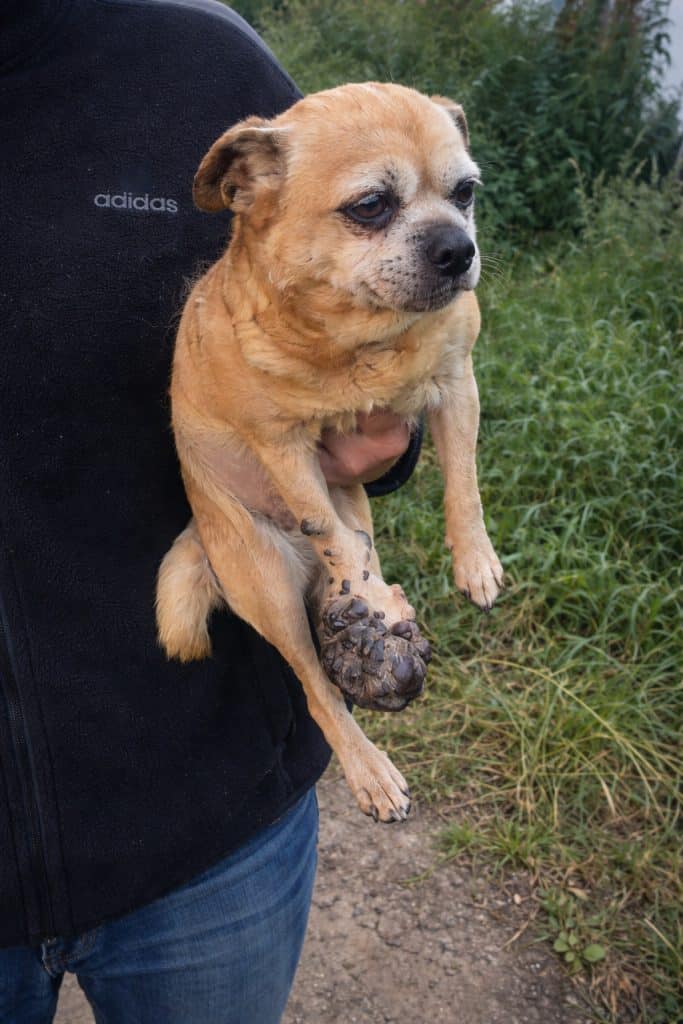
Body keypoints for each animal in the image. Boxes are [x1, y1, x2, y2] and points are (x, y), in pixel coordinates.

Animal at [156, 83, 502, 823]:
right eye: (370, 206)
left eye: (465, 192)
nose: (459, 249)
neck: (362, 341)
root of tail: (203, 528)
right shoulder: (284, 447)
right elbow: (326, 530)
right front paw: (373, 595)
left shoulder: (456, 385)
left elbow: (462, 481)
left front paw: (476, 561)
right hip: (268, 589)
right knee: (316, 684)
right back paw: (370, 762)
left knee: (354, 559)